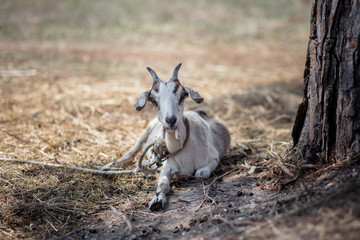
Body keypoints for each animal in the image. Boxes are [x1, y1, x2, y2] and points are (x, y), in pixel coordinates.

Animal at [102, 63, 231, 210]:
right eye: (153, 100)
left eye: (182, 95)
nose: (170, 120)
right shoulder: (167, 166)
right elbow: (163, 182)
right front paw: (157, 200)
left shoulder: (214, 158)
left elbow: (200, 173)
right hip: (146, 131)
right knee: (132, 152)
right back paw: (109, 167)